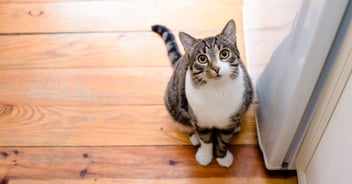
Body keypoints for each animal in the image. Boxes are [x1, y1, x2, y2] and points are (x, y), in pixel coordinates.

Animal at [151, 20, 253, 168]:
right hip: (173, 101)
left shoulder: (228, 120)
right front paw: (205, 155)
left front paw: (222, 157)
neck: (216, 90)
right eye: (202, 59)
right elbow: (205, 140)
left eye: (224, 54)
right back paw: (194, 137)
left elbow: (224, 140)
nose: (216, 68)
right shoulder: (200, 119)